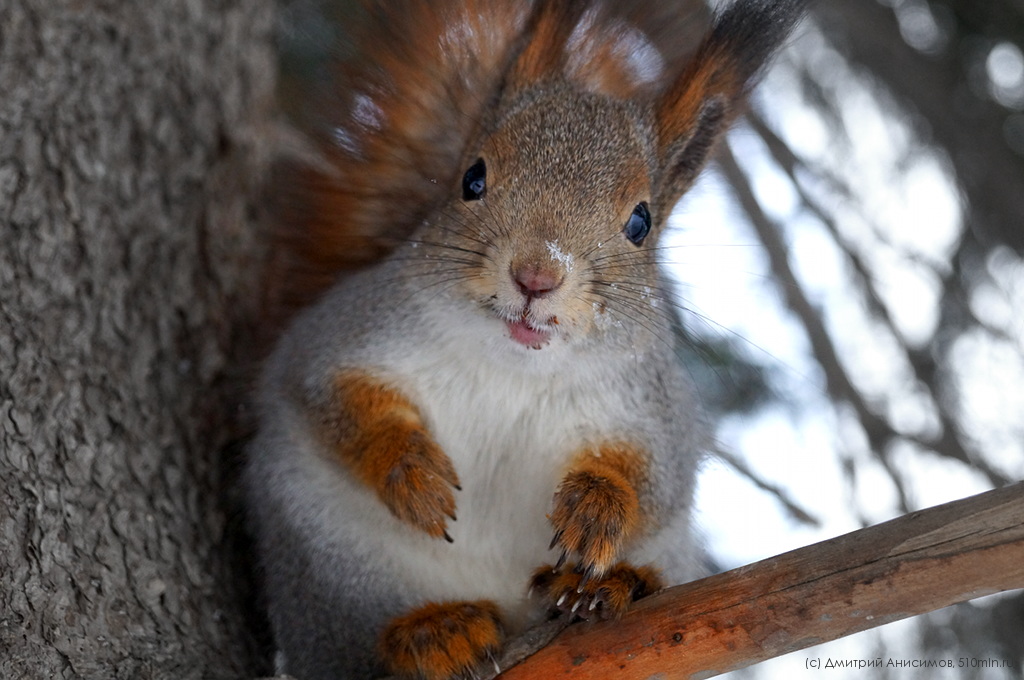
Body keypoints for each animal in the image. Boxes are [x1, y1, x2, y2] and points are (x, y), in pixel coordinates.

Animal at [243, 1, 802, 680]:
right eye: (472, 179)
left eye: (641, 222)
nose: (537, 275)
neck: (515, 364)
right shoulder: (347, 331)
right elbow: (329, 394)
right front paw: (408, 469)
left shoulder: (656, 407)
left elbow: (656, 476)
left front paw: (597, 508)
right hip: (322, 558)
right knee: (350, 652)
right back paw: (431, 634)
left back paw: (617, 585)